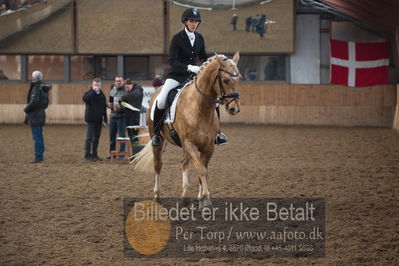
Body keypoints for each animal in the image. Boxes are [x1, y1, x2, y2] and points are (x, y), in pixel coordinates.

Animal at [134, 51, 241, 207]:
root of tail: (156, 91)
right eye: (226, 80)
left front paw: (201, 198)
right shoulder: (189, 143)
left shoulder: (208, 147)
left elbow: (203, 170)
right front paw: (206, 198)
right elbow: (201, 170)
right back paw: (157, 196)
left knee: (183, 163)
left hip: (185, 146)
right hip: (160, 140)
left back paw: (184, 196)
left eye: (239, 79)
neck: (200, 108)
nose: (234, 109)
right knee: (158, 164)